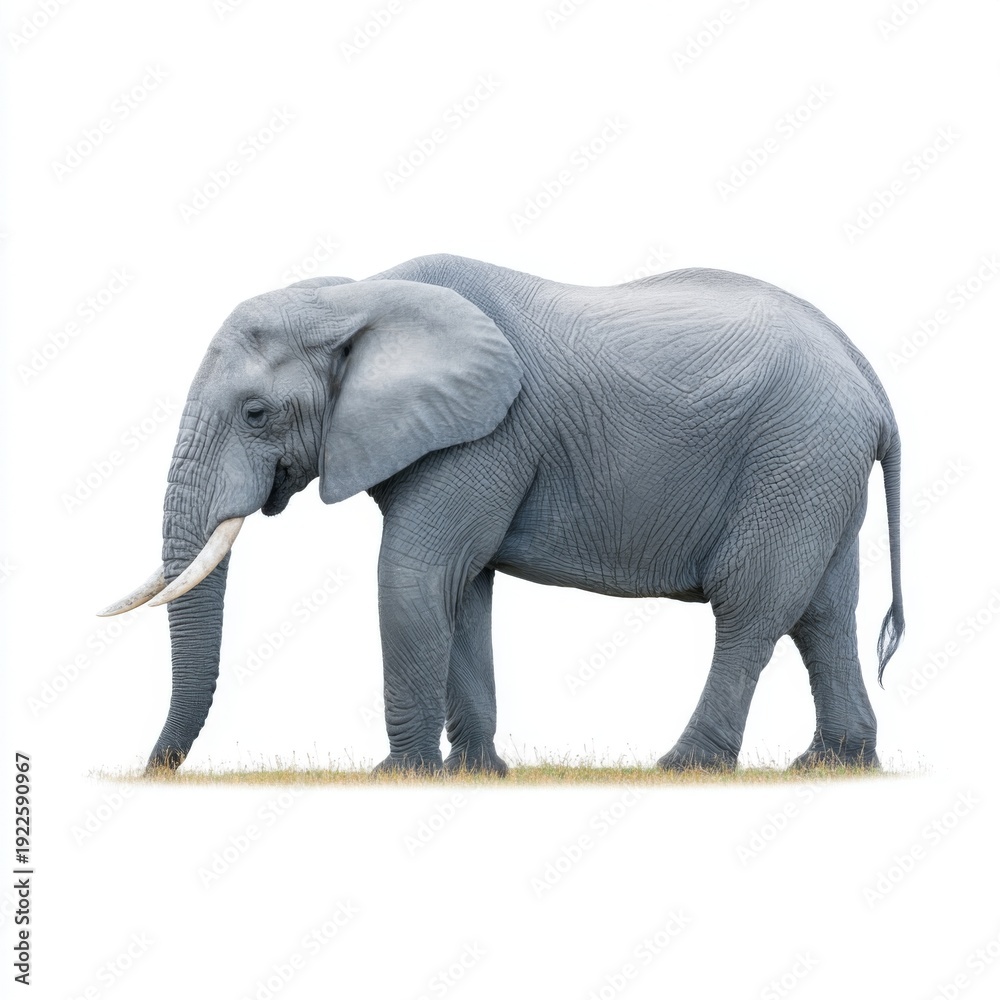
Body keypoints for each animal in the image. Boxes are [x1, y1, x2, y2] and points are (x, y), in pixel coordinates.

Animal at [101, 253, 903, 775]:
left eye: (256, 413)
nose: (152, 771)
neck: (362, 295)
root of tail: (870, 376)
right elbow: (463, 588)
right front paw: (477, 773)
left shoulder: (490, 435)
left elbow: (414, 576)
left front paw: (401, 777)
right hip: (819, 468)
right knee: (825, 612)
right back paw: (832, 763)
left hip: (795, 454)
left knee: (752, 607)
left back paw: (685, 766)